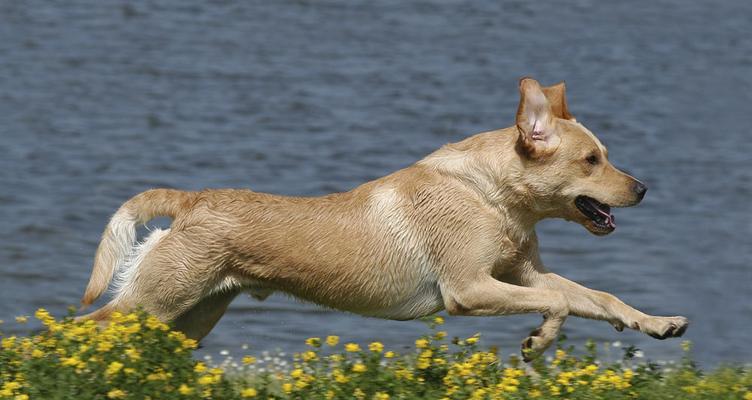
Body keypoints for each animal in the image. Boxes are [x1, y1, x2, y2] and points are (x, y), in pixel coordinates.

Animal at [81, 78, 688, 360]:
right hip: (157, 302)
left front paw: (658, 323)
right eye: (591, 161)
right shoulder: (469, 290)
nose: (643, 189)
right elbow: (561, 303)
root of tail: (192, 198)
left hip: (190, 315)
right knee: (80, 326)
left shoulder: (524, 275)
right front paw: (538, 342)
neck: (488, 195)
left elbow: (595, 298)